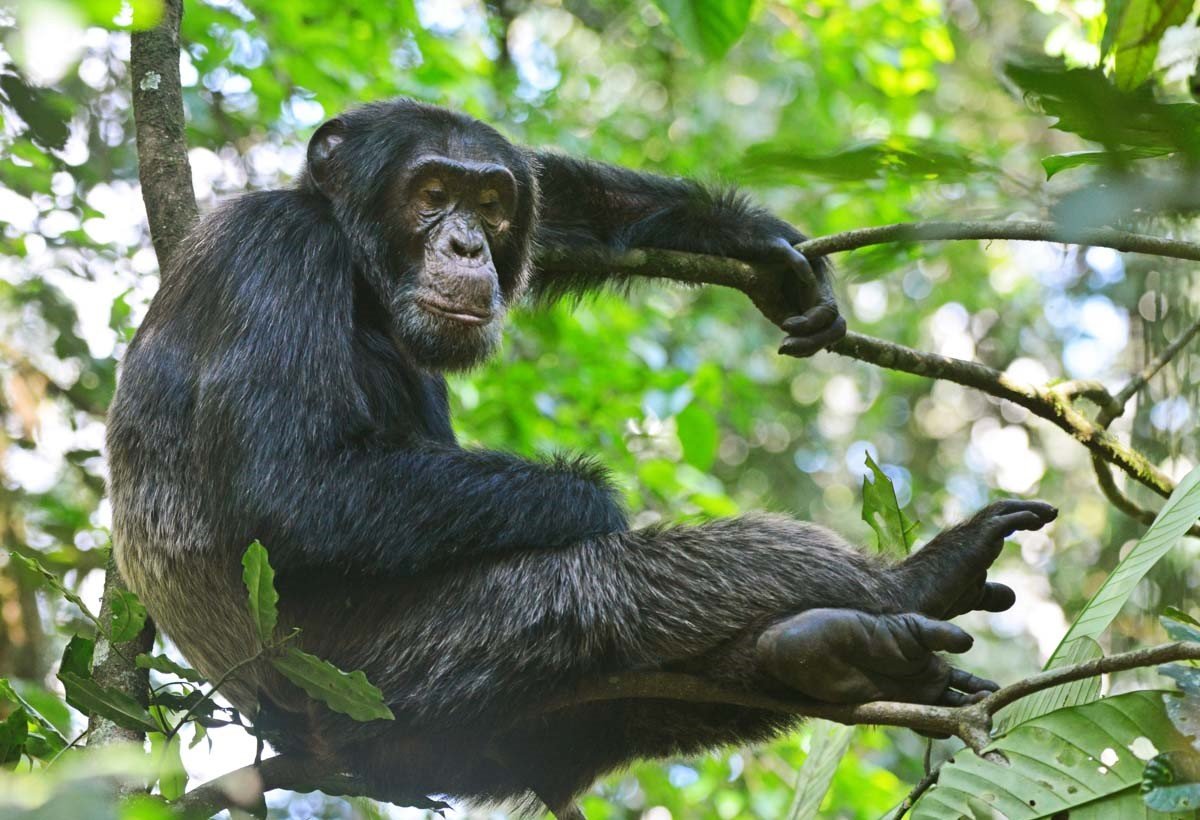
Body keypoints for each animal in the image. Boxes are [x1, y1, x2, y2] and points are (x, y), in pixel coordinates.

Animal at [106, 98, 1055, 815]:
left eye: (491, 203)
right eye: (432, 191)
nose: (467, 245)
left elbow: (555, 210)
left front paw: (752, 240)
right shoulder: (278, 254)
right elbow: (296, 486)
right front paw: (593, 499)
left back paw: (824, 652)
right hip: (381, 680)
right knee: (616, 591)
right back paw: (910, 587)